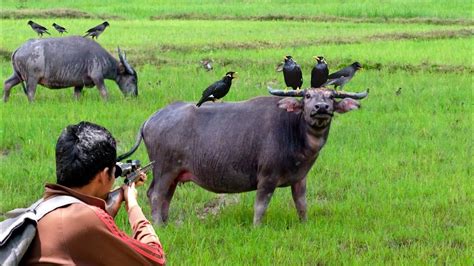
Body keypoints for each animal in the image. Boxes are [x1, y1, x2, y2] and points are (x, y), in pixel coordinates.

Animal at [3, 35, 137, 102]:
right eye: (133, 79)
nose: (135, 95)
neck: (102, 57)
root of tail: (20, 48)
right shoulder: (97, 77)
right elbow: (104, 92)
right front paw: (107, 103)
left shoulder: (79, 84)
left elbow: (77, 96)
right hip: (32, 78)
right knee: (30, 93)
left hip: (18, 75)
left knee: (7, 84)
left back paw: (5, 101)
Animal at [118, 87, 370, 224]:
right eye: (307, 96)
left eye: (331, 97)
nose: (321, 108)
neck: (293, 131)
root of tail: (151, 119)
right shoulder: (267, 178)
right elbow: (260, 206)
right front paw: (257, 227)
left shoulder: (300, 179)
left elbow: (302, 205)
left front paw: (304, 223)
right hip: (164, 169)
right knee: (155, 195)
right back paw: (159, 226)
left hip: (174, 173)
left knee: (165, 197)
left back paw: (166, 222)